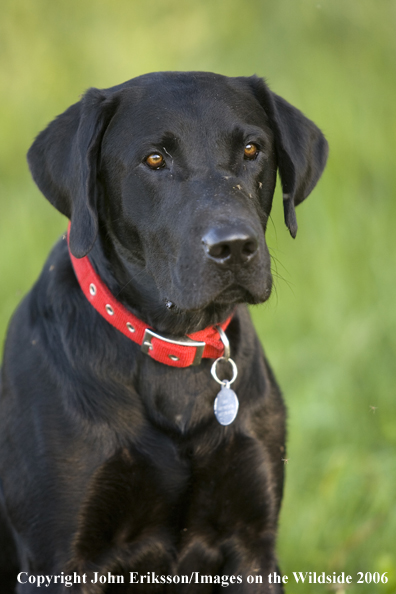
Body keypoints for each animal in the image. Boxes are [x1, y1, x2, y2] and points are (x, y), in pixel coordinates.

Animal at [0, 71, 328, 588]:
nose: (234, 246)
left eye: (252, 149)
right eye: (155, 159)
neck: (177, 350)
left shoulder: (252, 543)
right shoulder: (58, 561)